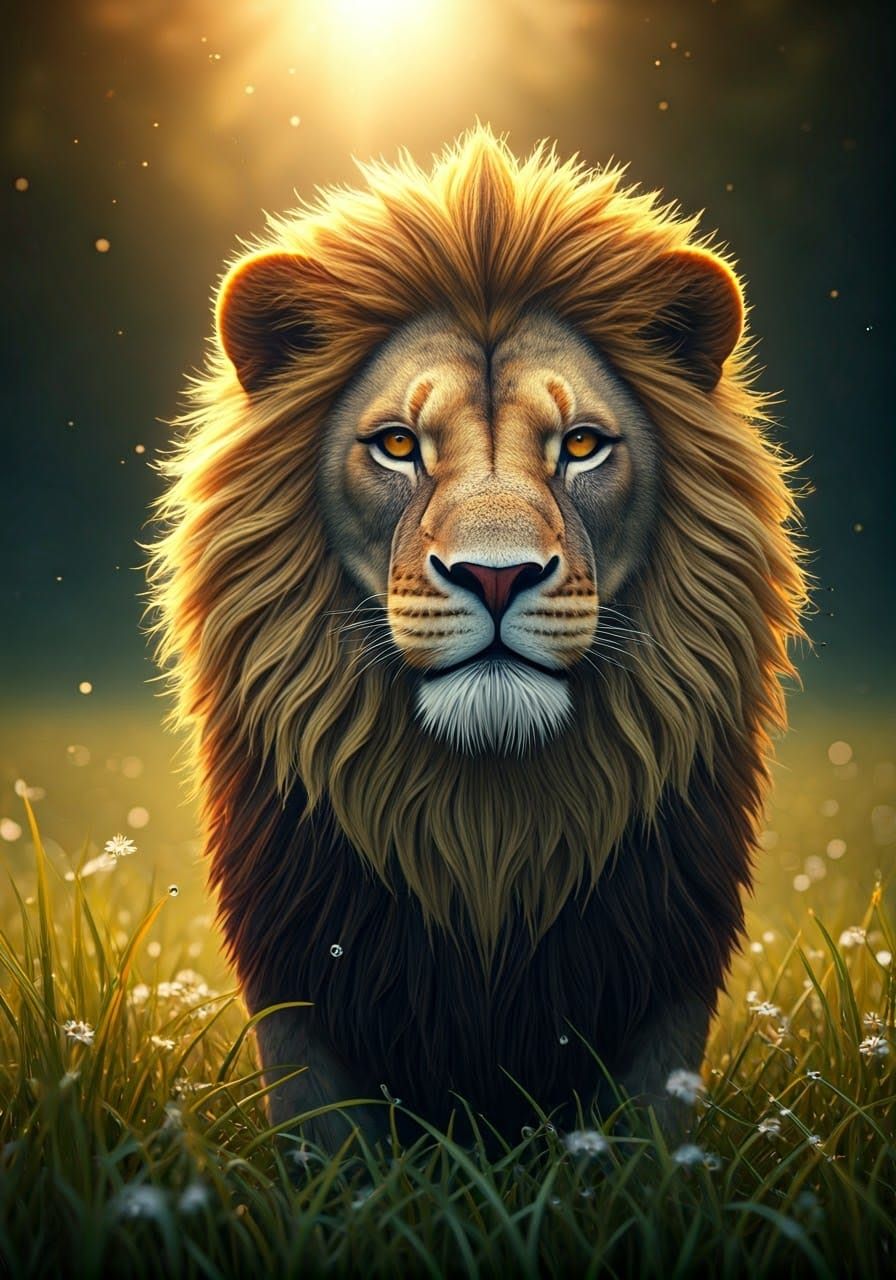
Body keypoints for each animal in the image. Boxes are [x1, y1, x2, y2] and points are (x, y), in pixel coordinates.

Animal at [150, 126, 807, 1149]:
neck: (485, 830)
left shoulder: (672, 961)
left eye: (580, 445)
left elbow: (648, 1134)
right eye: (396, 445)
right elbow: (325, 1136)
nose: (496, 576)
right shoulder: (295, 969)